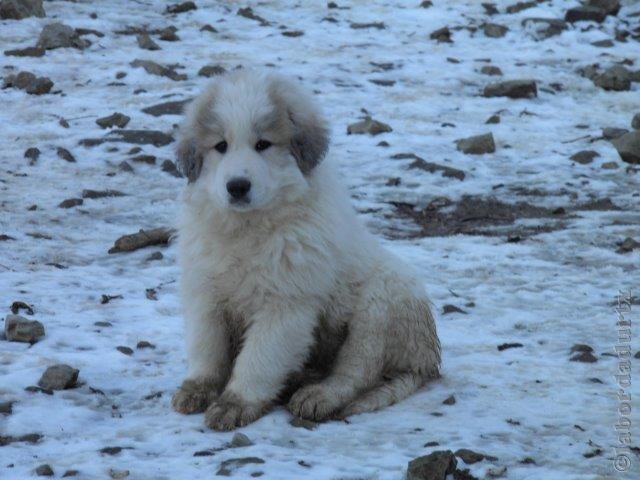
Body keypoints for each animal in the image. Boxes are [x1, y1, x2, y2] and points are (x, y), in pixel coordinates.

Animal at [170, 68, 440, 432]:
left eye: (263, 144)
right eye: (220, 146)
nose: (237, 186)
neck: (248, 230)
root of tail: (426, 359)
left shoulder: (285, 304)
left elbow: (259, 358)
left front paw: (235, 403)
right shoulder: (206, 291)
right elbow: (207, 345)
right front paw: (198, 387)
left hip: (382, 303)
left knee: (357, 370)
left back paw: (319, 395)